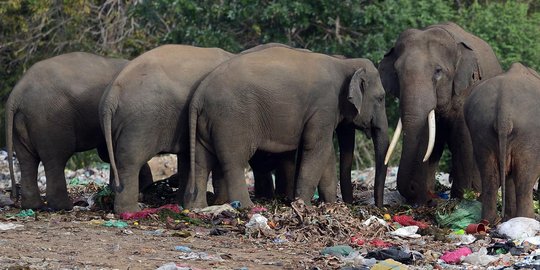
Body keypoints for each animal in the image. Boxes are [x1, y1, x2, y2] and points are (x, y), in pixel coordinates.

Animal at [5, 51, 153, 210]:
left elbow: (108, 153)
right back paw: (65, 206)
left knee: (27, 160)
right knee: (56, 159)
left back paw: (34, 206)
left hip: (21, 122)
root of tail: (16, 93)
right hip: (49, 120)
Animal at [185, 47, 388, 209]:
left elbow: (326, 152)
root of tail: (199, 93)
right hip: (231, 119)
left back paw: (198, 208)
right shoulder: (324, 106)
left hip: (207, 122)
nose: (379, 208)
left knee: (202, 162)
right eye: (381, 98)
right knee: (234, 161)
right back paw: (247, 207)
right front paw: (303, 206)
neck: (344, 63)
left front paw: (328, 205)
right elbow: (316, 148)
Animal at [380, 22, 502, 204]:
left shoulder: (466, 88)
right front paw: (424, 200)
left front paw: (460, 198)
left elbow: (463, 137)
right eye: (397, 72)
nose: (413, 189)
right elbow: (425, 140)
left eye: (438, 71)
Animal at [464, 63, 540, 224]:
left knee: (490, 177)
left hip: (480, 127)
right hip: (529, 133)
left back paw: (489, 221)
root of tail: (504, 106)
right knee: (525, 179)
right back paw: (526, 219)